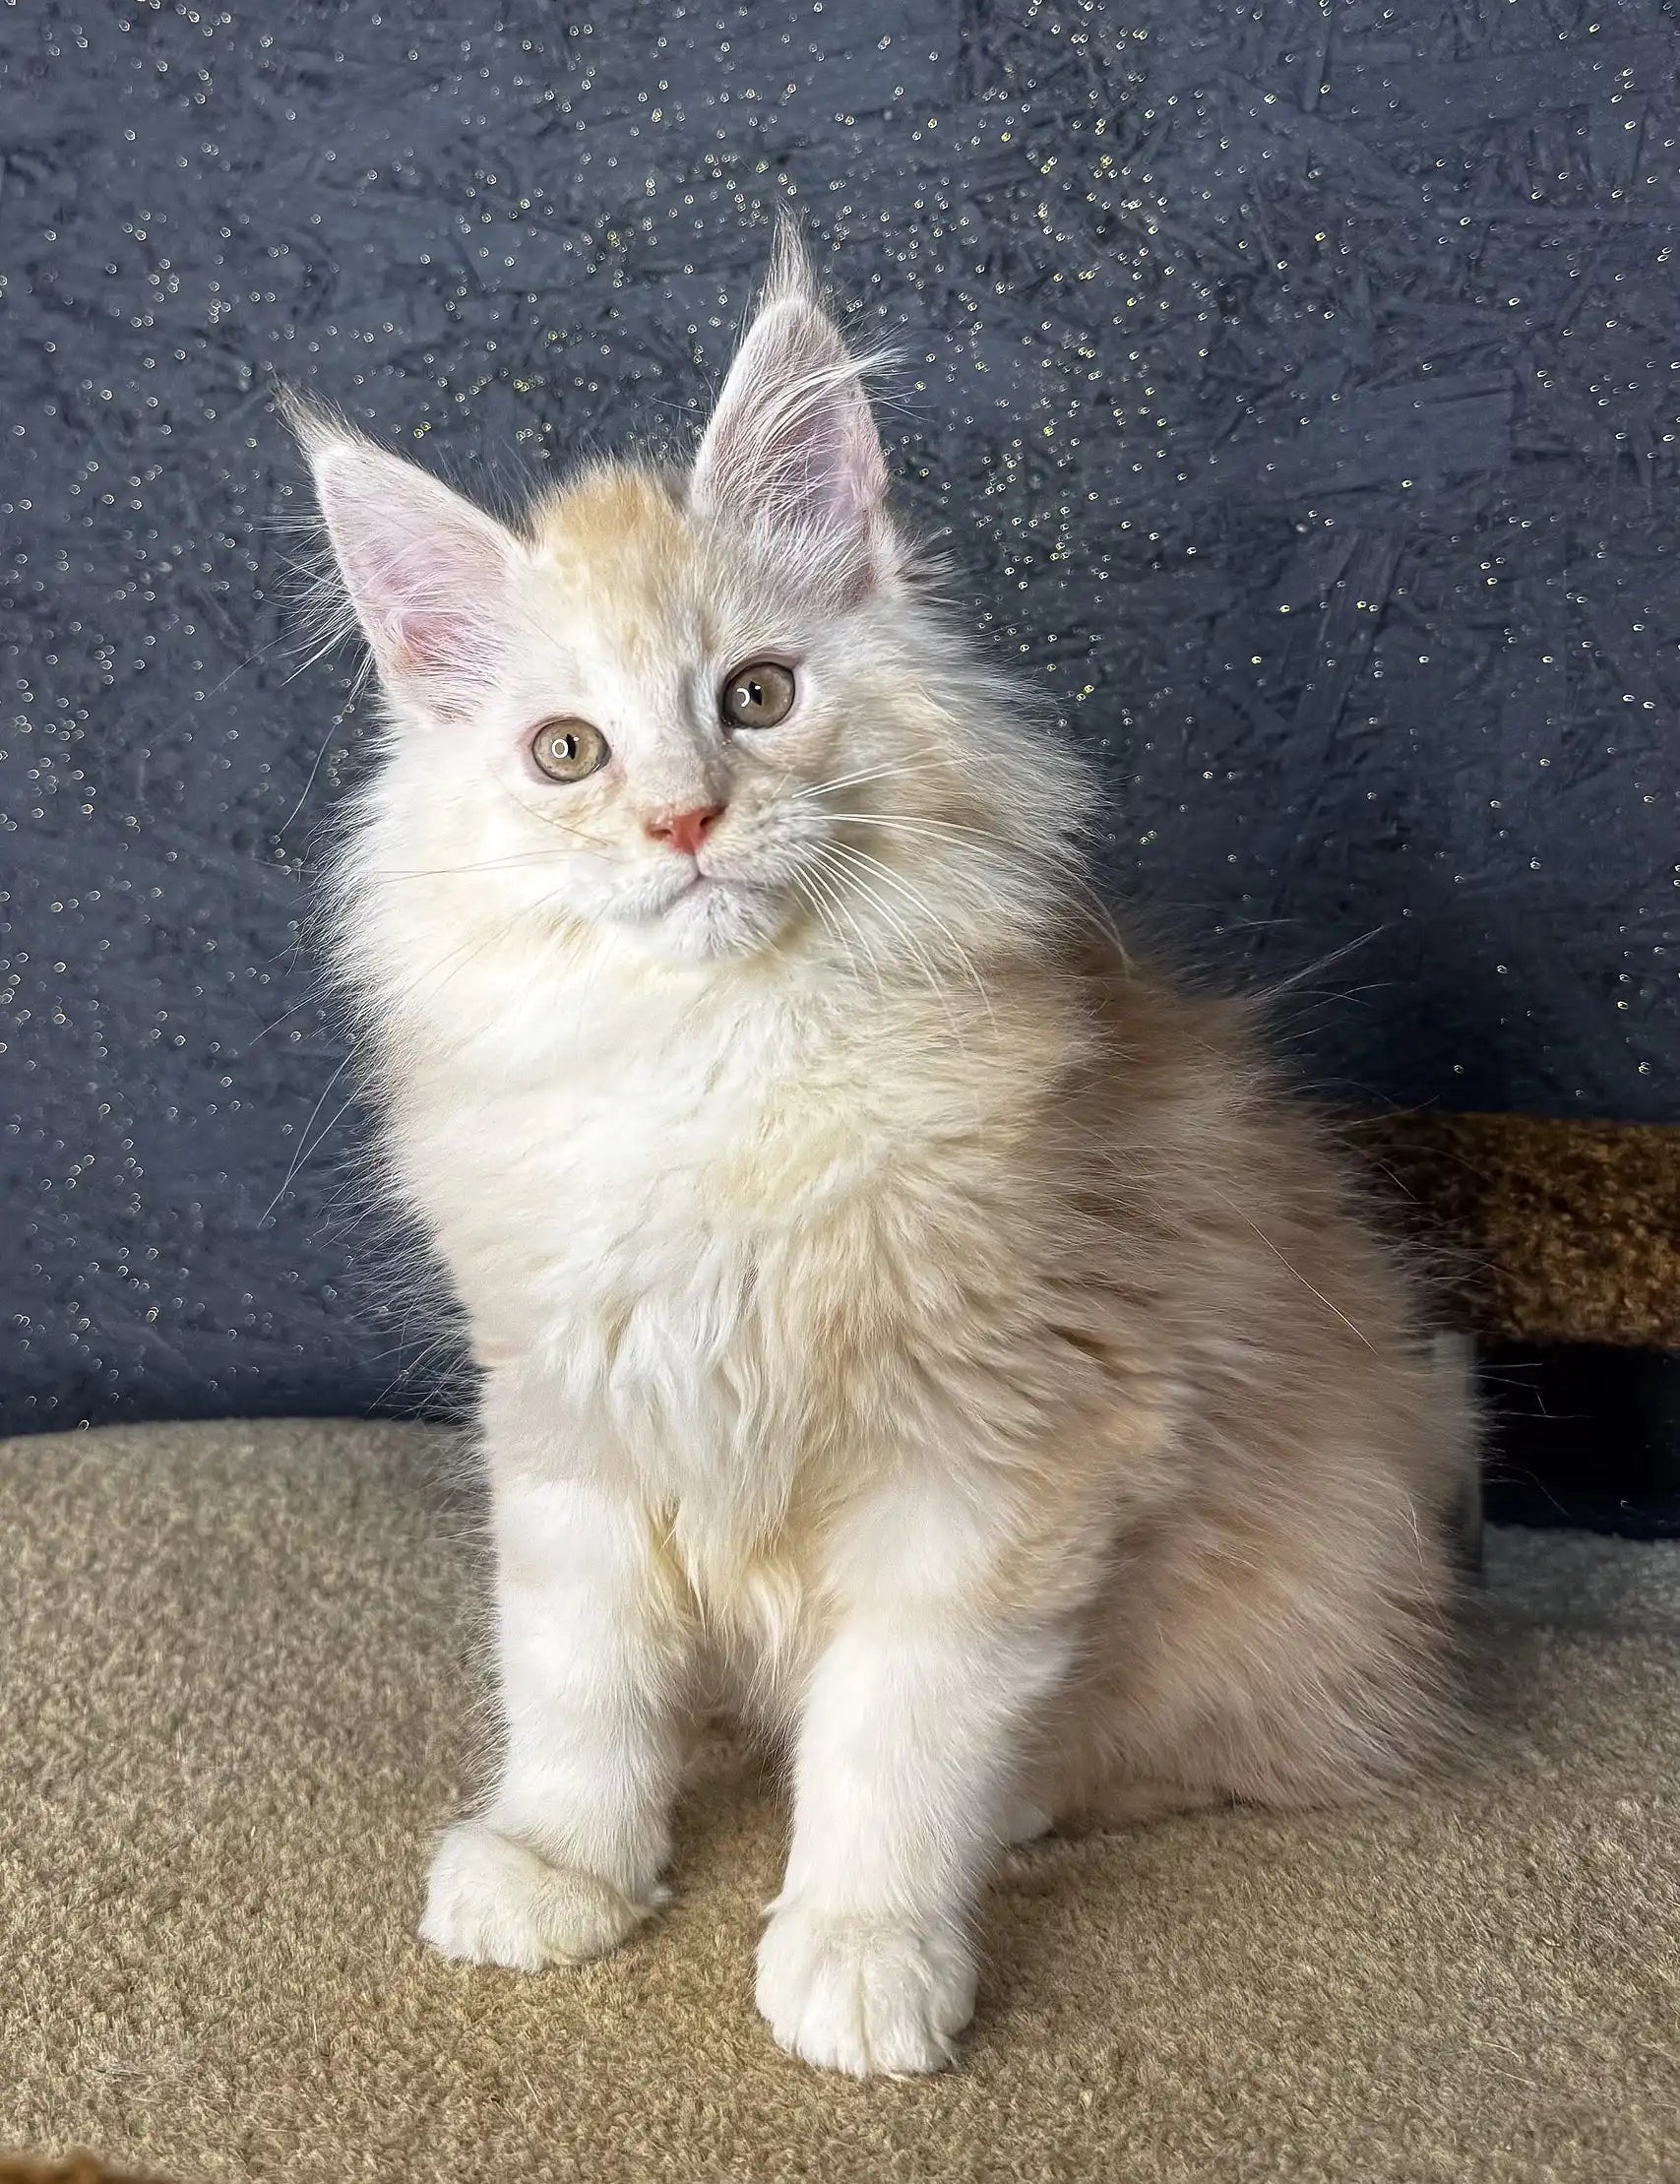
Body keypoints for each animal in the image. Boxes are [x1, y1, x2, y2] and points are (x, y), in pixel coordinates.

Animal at [294, 225, 1476, 2079]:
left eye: (757, 695)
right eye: (568, 750)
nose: (683, 819)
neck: (723, 1073)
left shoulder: (997, 1456)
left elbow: (897, 1733)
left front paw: (863, 1943)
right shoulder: (568, 1417)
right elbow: (574, 1672)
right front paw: (565, 1859)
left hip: (1310, 1553)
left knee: (1235, 1739)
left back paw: (1023, 1808)